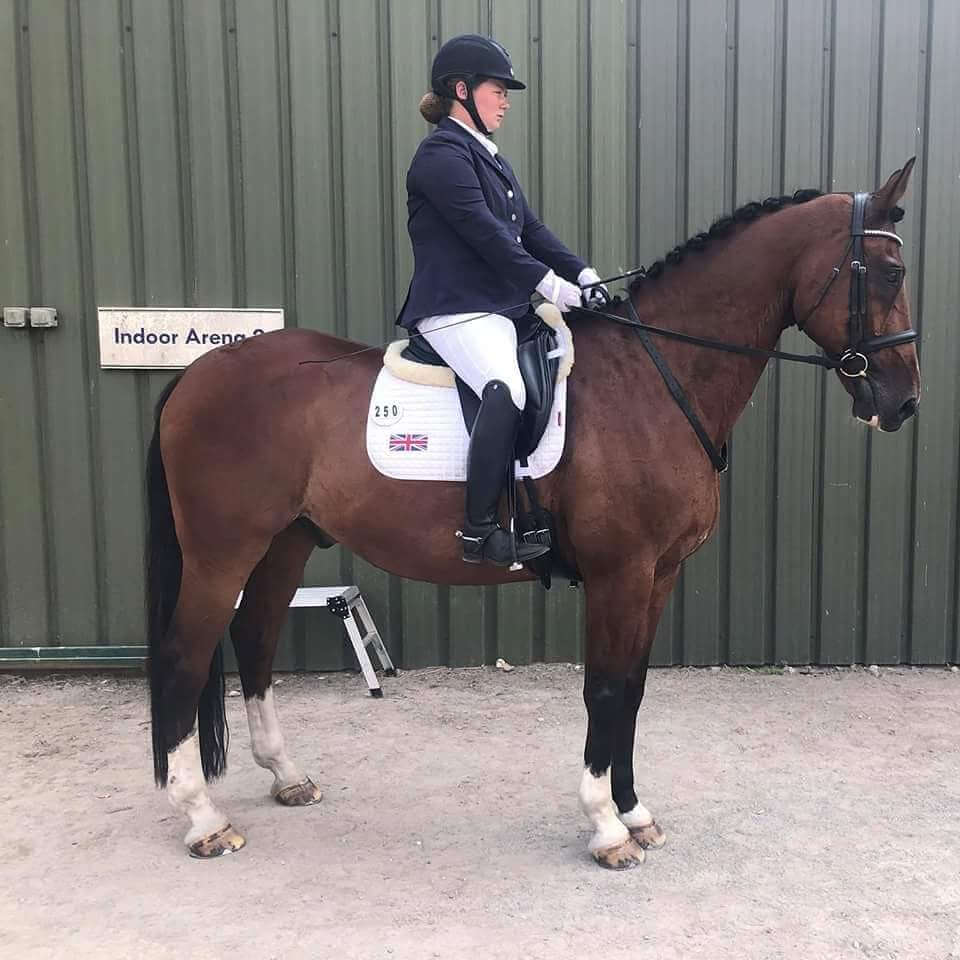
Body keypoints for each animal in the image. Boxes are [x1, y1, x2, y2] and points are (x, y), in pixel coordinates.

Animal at [146, 159, 919, 867]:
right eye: (887, 273)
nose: (903, 402)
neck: (656, 376)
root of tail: (198, 374)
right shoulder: (620, 573)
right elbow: (605, 689)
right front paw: (606, 828)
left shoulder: (658, 574)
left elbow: (633, 690)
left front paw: (636, 813)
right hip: (222, 551)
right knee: (186, 655)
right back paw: (203, 818)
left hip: (286, 543)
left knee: (255, 641)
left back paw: (287, 777)